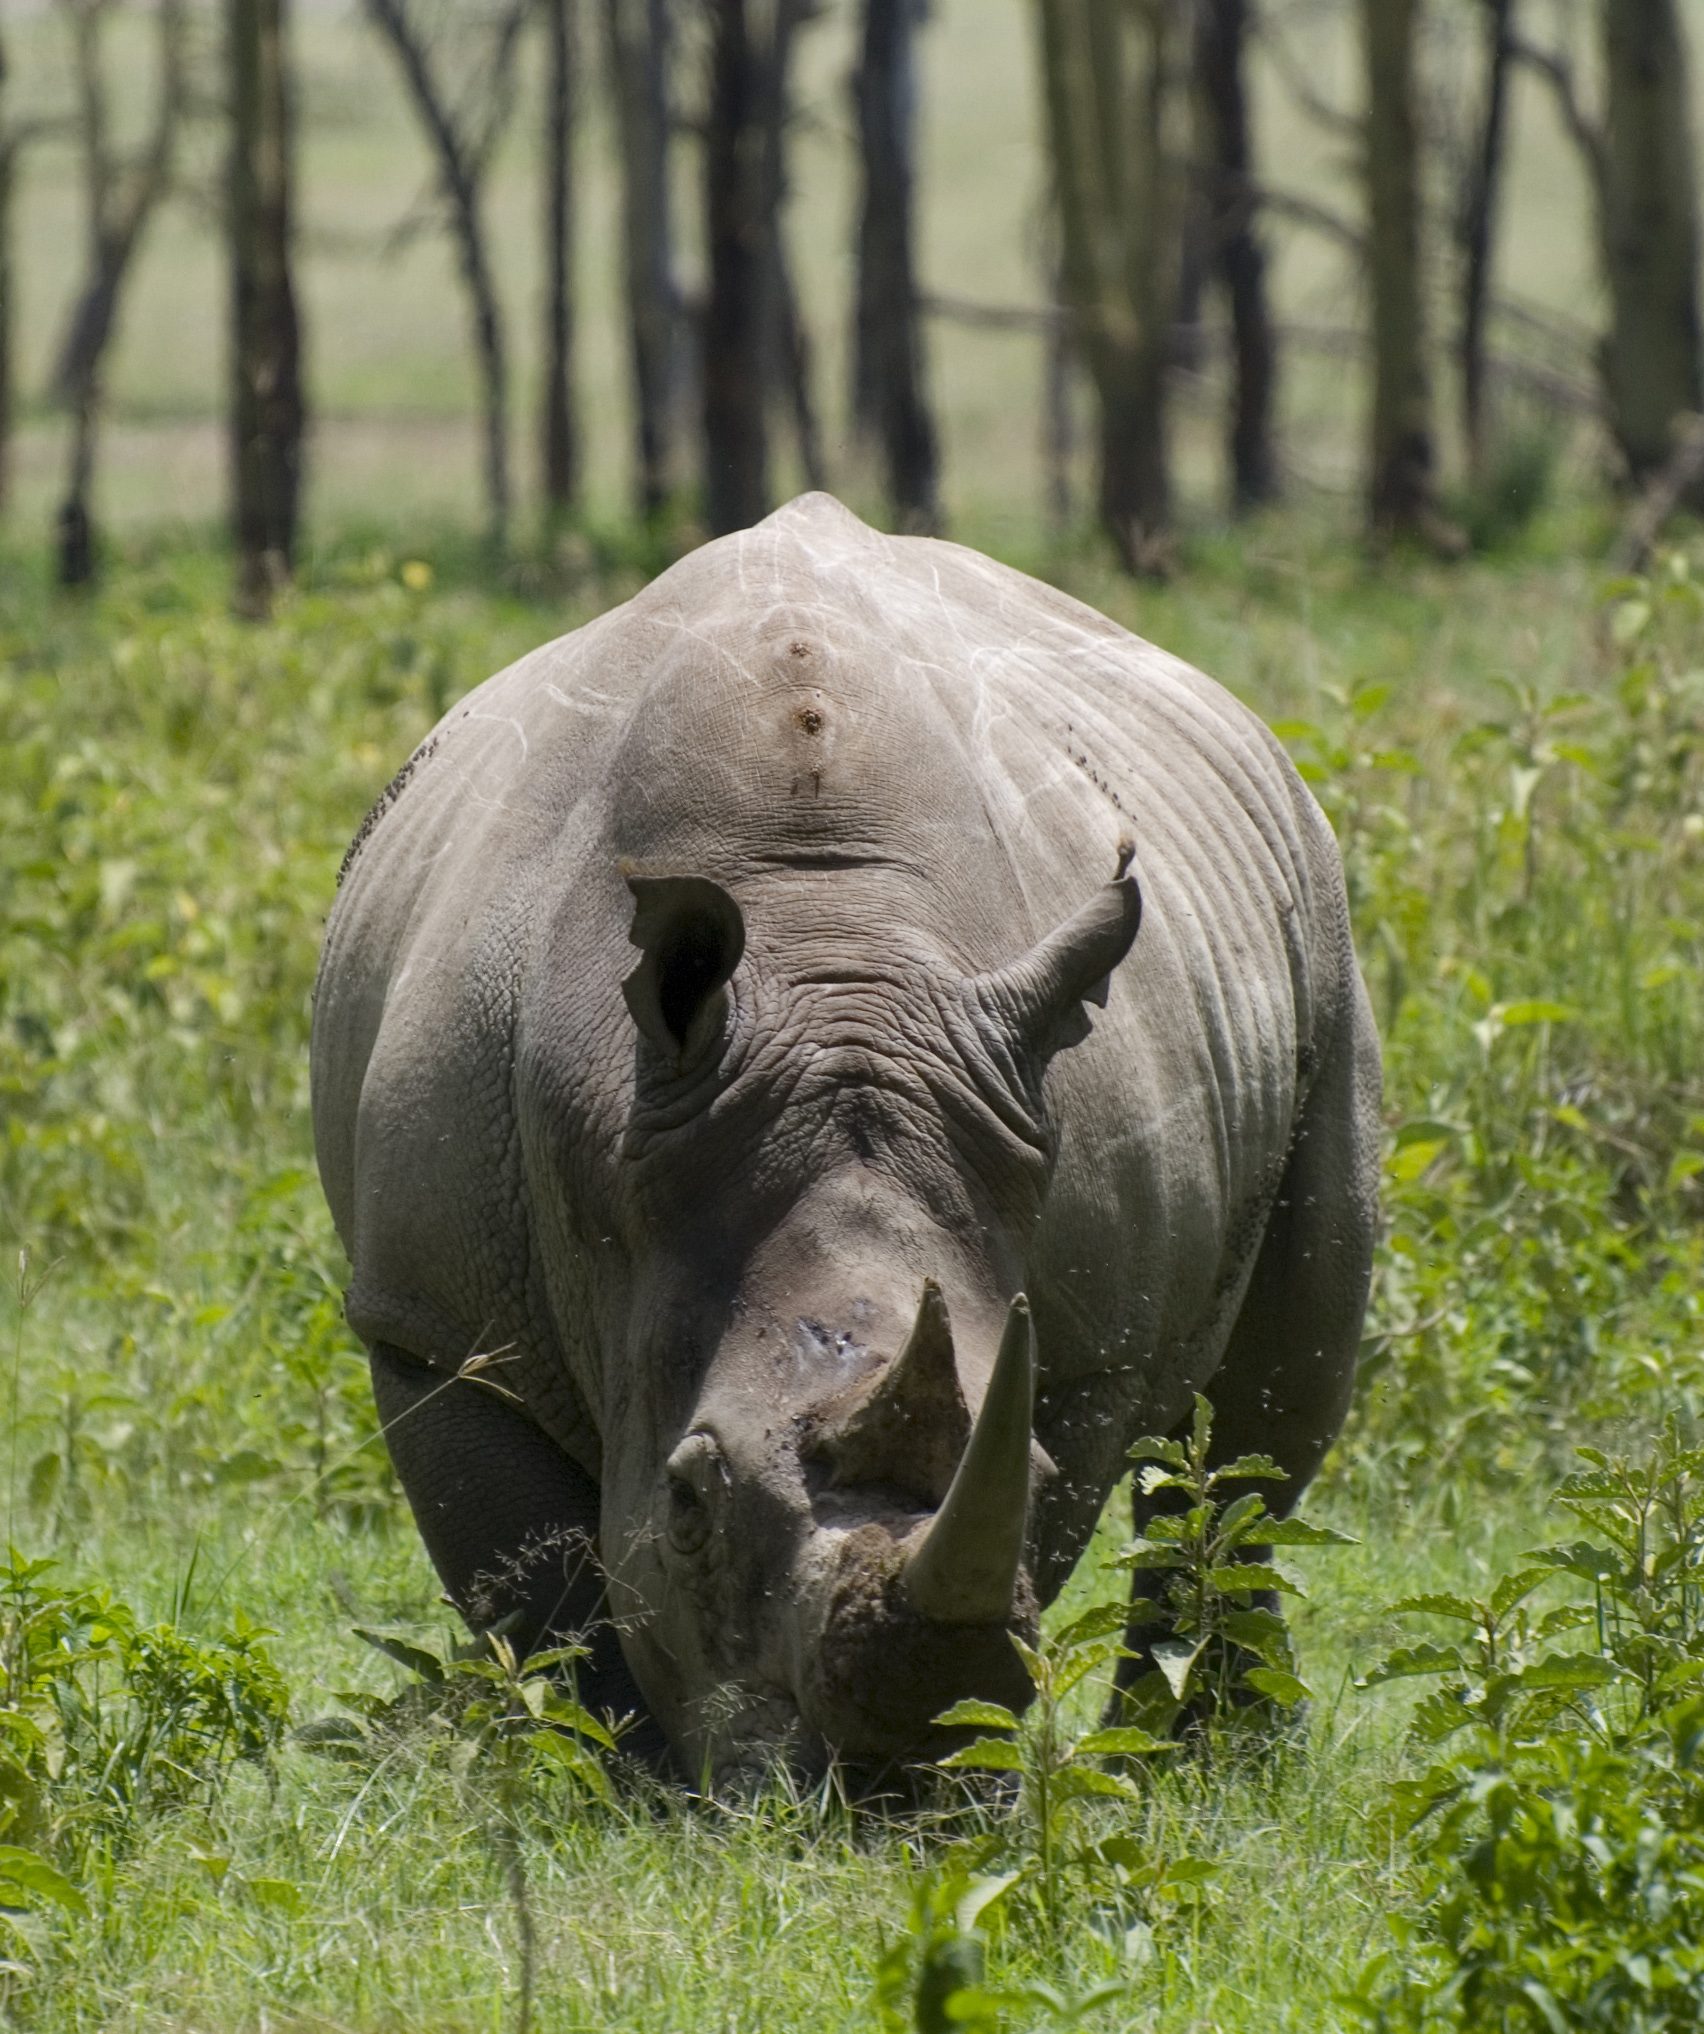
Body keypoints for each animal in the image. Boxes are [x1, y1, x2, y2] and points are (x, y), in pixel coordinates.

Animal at [311, 493, 1380, 1783]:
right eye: (688, 1501)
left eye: (1035, 1473)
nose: (888, 1796)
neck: (825, 953)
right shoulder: (437, 1318)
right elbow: (543, 1595)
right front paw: (617, 1781)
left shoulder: (1088, 1353)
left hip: (1321, 914)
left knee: (1273, 1398)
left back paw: (1202, 1759)